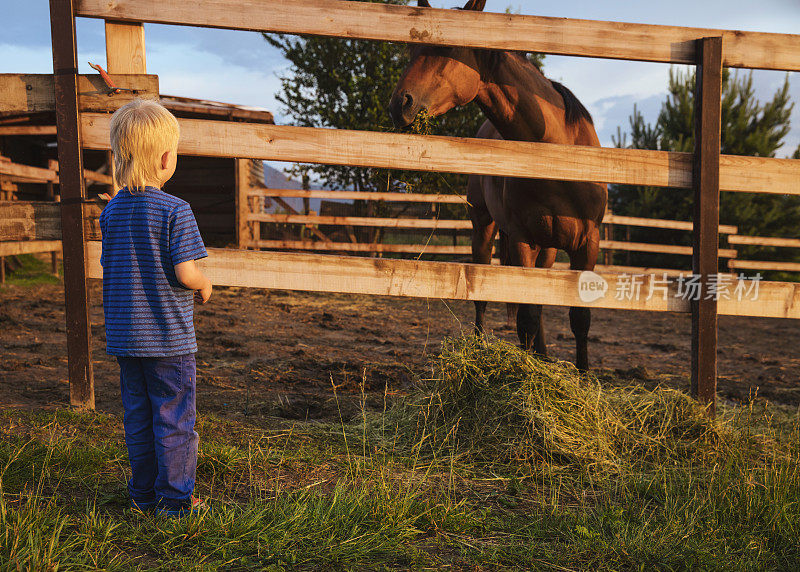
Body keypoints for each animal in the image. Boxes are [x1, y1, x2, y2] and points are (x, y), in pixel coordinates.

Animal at [388, 0, 608, 368]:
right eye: (413, 51)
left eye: (447, 49)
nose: (398, 105)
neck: (558, 152)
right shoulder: (521, 240)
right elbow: (526, 315)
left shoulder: (587, 241)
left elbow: (579, 317)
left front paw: (582, 373)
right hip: (484, 227)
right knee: (484, 294)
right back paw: (479, 347)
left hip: (548, 247)